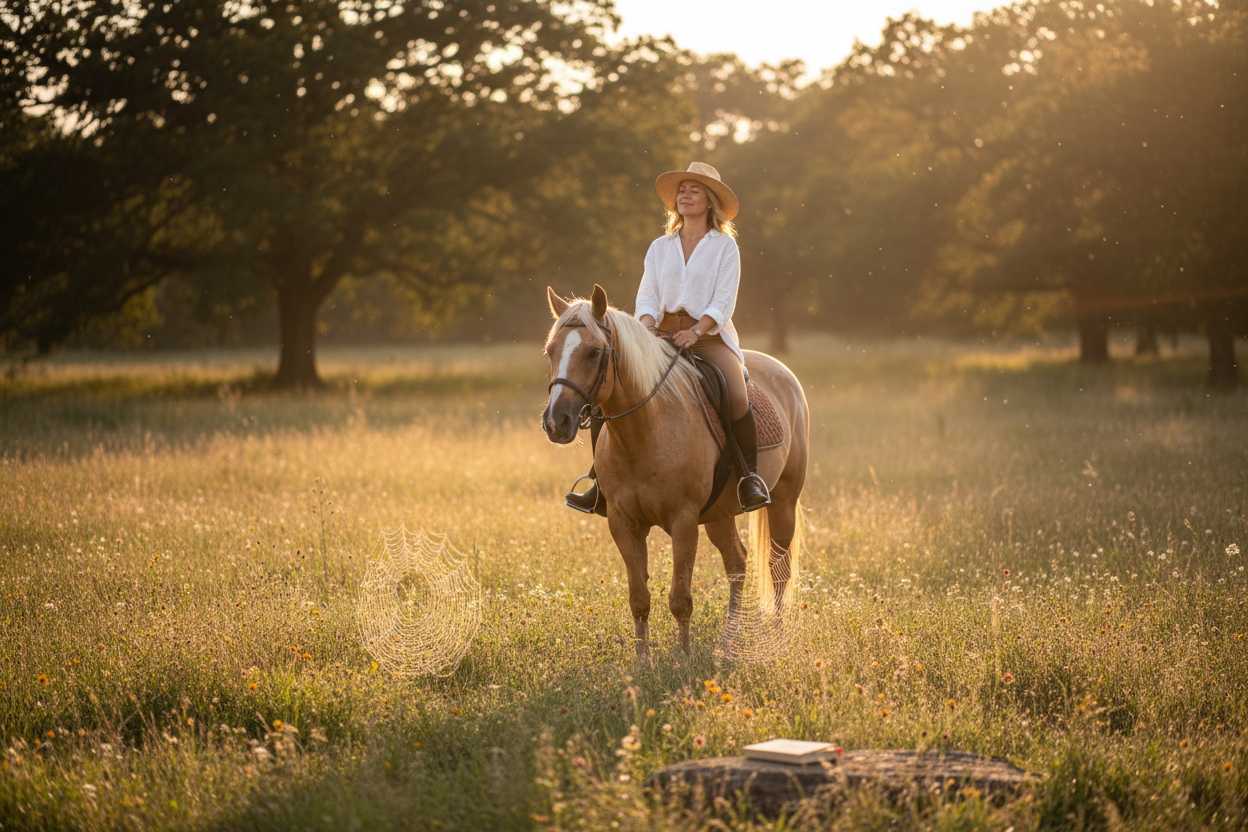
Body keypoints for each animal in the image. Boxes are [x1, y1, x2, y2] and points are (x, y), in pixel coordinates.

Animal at [541, 284, 809, 662]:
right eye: (551, 351)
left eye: (594, 352)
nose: (556, 422)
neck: (645, 431)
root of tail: (783, 372)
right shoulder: (623, 524)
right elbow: (639, 599)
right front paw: (643, 664)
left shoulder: (683, 522)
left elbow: (680, 600)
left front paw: (683, 659)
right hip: (719, 515)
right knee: (738, 564)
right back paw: (729, 642)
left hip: (783, 501)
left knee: (778, 570)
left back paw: (777, 640)